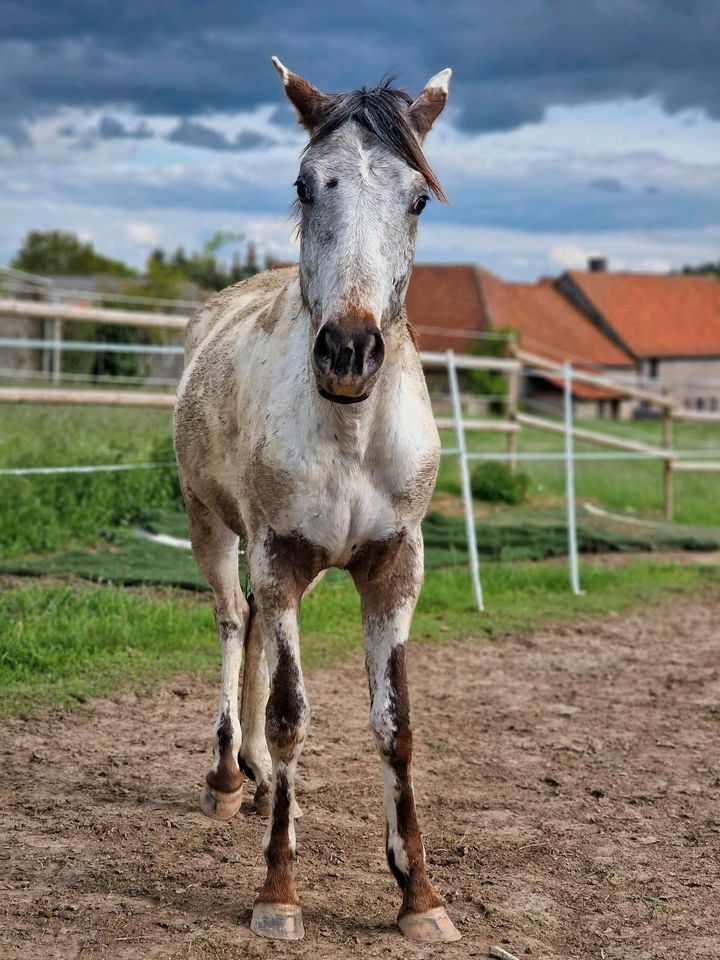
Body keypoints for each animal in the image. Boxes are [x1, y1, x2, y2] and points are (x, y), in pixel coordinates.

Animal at [173, 54, 462, 944]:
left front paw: (420, 897)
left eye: (418, 198)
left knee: (257, 632)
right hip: (214, 529)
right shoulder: (282, 555)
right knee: (234, 623)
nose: (349, 350)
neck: (350, 433)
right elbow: (291, 715)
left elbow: (396, 724)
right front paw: (279, 893)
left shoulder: (395, 568)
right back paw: (228, 777)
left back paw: (259, 778)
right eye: (306, 185)